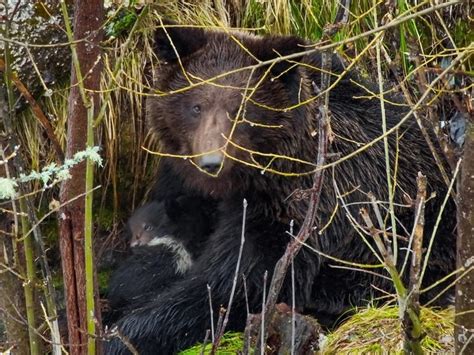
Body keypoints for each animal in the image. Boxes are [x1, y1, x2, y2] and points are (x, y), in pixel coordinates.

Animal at [106, 23, 456, 354]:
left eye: (241, 108)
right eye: (196, 106)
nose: (211, 162)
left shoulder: (295, 205)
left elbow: (235, 285)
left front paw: (124, 334)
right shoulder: (180, 180)